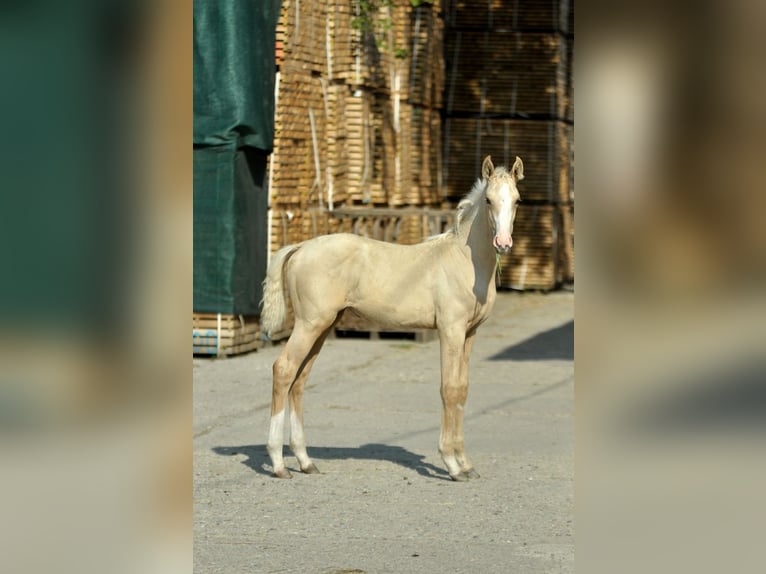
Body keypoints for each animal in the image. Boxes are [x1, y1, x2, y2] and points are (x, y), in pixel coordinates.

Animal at [260, 155, 524, 484]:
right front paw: (451, 464)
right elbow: (448, 389)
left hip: (323, 326)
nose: (503, 243)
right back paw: (278, 463)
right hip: (309, 324)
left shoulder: (470, 333)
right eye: (488, 200)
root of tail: (300, 248)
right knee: (283, 370)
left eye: (517, 200)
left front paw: (466, 464)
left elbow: (462, 389)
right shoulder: (450, 330)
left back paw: (305, 461)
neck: (464, 261)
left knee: (299, 379)